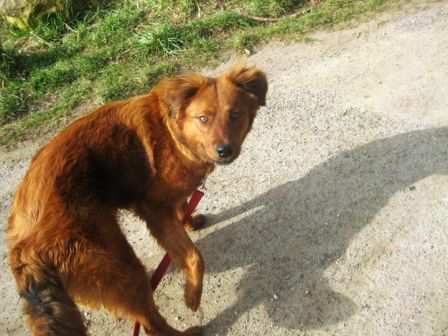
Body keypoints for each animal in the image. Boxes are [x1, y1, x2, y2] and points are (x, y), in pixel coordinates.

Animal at [7, 62, 266, 334]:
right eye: (203, 119)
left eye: (235, 115)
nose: (224, 151)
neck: (173, 132)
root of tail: (24, 250)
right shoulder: (155, 209)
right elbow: (194, 257)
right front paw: (192, 295)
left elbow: (181, 206)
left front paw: (189, 220)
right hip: (122, 266)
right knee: (151, 322)